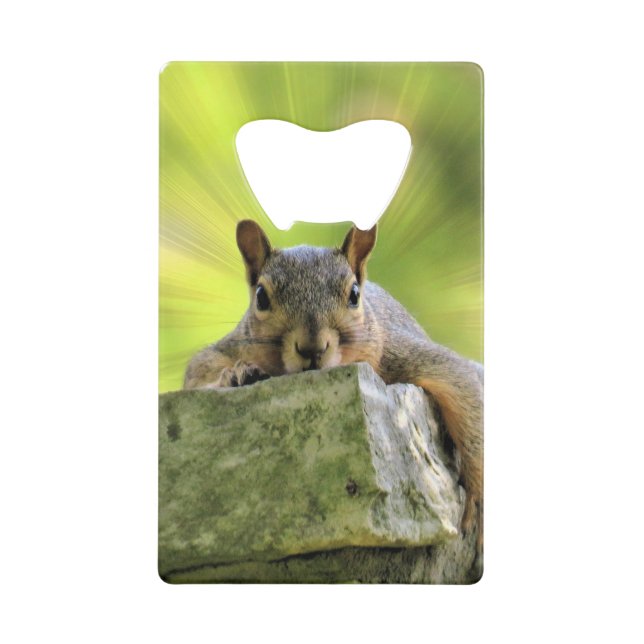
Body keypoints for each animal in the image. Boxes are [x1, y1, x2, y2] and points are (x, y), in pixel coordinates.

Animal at [184, 220, 483, 558]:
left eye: (354, 294)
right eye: (260, 296)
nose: (312, 348)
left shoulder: (400, 352)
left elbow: (462, 384)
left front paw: (479, 497)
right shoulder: (231, 346)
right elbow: (198, 372)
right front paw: (236, 374)